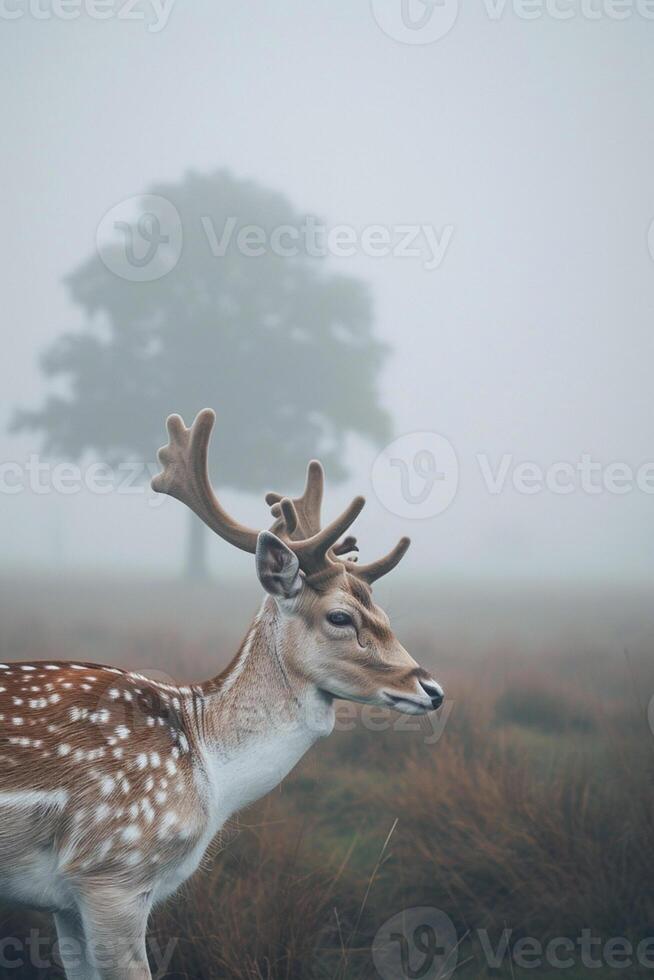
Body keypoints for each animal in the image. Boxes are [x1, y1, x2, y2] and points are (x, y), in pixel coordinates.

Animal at [0, 408, 446, 980]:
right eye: (340, 617)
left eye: (384, 612)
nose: (431, 688)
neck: (208, 774)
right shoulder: (110, 869)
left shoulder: (64, 902)